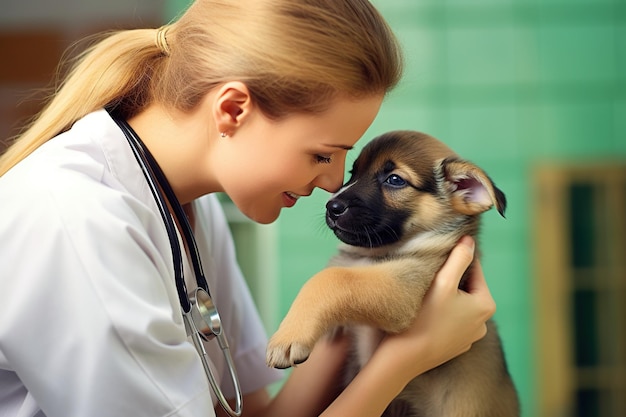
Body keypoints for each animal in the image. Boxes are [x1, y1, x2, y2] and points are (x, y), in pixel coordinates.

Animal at [266, 131, 516, 416]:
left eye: (395, 180)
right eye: (353, 172)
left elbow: (333, 279)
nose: (332, 207)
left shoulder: (404, 289)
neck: (377, 254)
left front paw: (288, 337)